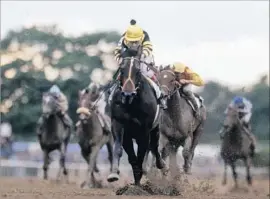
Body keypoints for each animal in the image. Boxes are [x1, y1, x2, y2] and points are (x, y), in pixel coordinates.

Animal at [107, 56, 165, 185]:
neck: (131, 104)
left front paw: (138, 179)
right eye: (121, 70)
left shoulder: (144, 129)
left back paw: (161, 164)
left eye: (138, 71)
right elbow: (121, 150)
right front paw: (114, 173)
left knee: (154, 146)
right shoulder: (119, 124)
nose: (127, 94)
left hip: (155, 129)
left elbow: (141, 153)